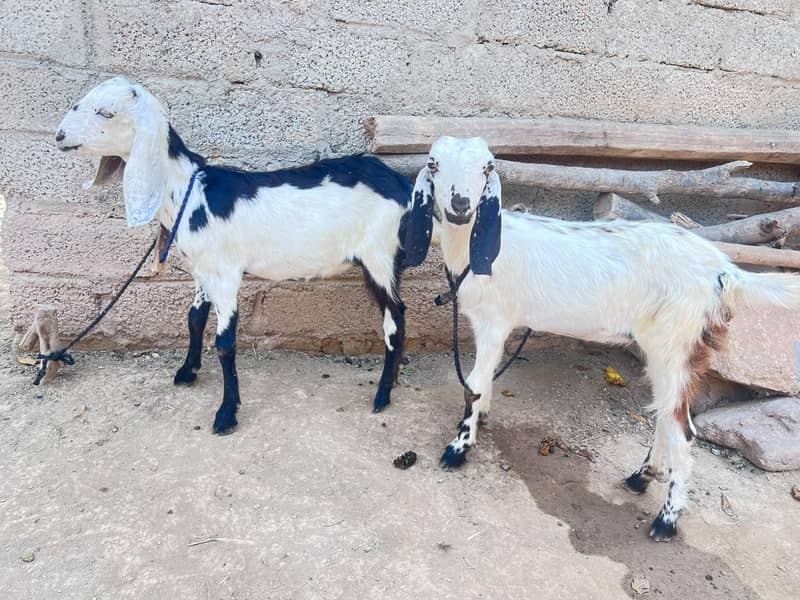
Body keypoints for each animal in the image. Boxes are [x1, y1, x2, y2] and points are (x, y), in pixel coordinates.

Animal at [55, 77, 412, 433]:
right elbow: (194, 319)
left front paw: (226, 413)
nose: (59, 135)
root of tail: (398, 183)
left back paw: (382, 395)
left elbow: (225, 342)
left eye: (106, 112)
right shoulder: (202, 270)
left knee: (395, 318)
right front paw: (188, 371)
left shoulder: (225, 274)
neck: (191, 191)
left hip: (379, 255)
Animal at [404, 136, 800, 541]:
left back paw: (666, 520)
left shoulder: (494, 321)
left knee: (683, 430)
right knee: (666, 413)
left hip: (676, 342)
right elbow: (484, 380)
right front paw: (480, 419)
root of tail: (724, 272)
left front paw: (458, 448)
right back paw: (642, 477)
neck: (476, 247)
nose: (461, 206)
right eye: (433, 164)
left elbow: (473, 383)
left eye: (488, 168)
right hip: (666, 347)